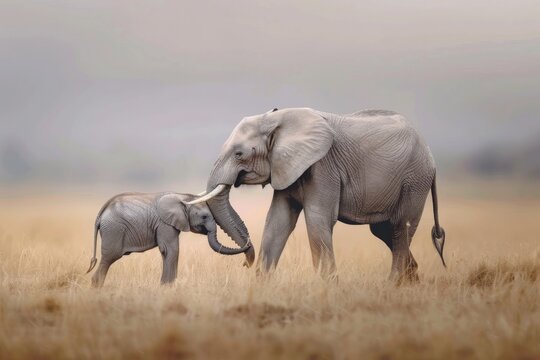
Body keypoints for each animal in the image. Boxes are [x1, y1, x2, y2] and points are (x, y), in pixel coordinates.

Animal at [86, 191, 251, 286]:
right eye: (204, 217)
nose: (244, 263)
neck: (184, 198)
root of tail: (100, 215)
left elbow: (167, 251)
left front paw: (165, 286)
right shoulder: (164, 223)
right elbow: (171, 250)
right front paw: (167, 286)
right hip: (114, 230)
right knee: (109, 257)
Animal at [196, 107, 446, 282]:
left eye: (239, 154)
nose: (245, 262)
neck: (279, 120)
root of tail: (431, 157)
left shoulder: (323, 167)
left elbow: (317, 218)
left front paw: (328, 286)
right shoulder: (287, 168)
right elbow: (278, 221)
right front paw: (261, 285)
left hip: (414, 180)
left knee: (399, 227)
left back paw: (393, 284)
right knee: (383, 230)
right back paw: (411, 280)